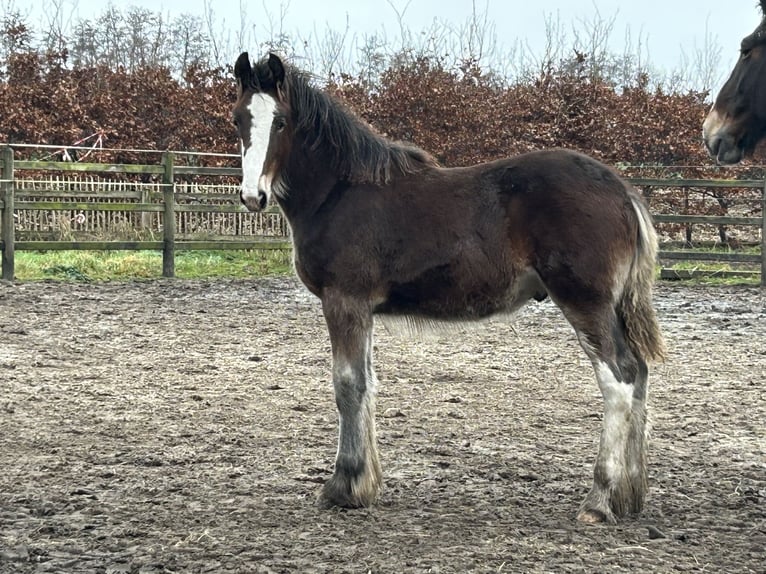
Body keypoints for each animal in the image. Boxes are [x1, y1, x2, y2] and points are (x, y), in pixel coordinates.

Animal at [232, 51, 664, 524]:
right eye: (239, 119)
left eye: (280, 122)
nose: (252, 197)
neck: (340, 192)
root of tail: (623, 191)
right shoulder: (362, 308)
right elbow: (367, 384)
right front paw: (365, 486)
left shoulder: (343, 299)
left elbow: (347, 385)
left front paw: (342, 486)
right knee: (640, 374)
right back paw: (630, 496)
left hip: (586, 303)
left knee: (619, 380)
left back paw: (600, 500)